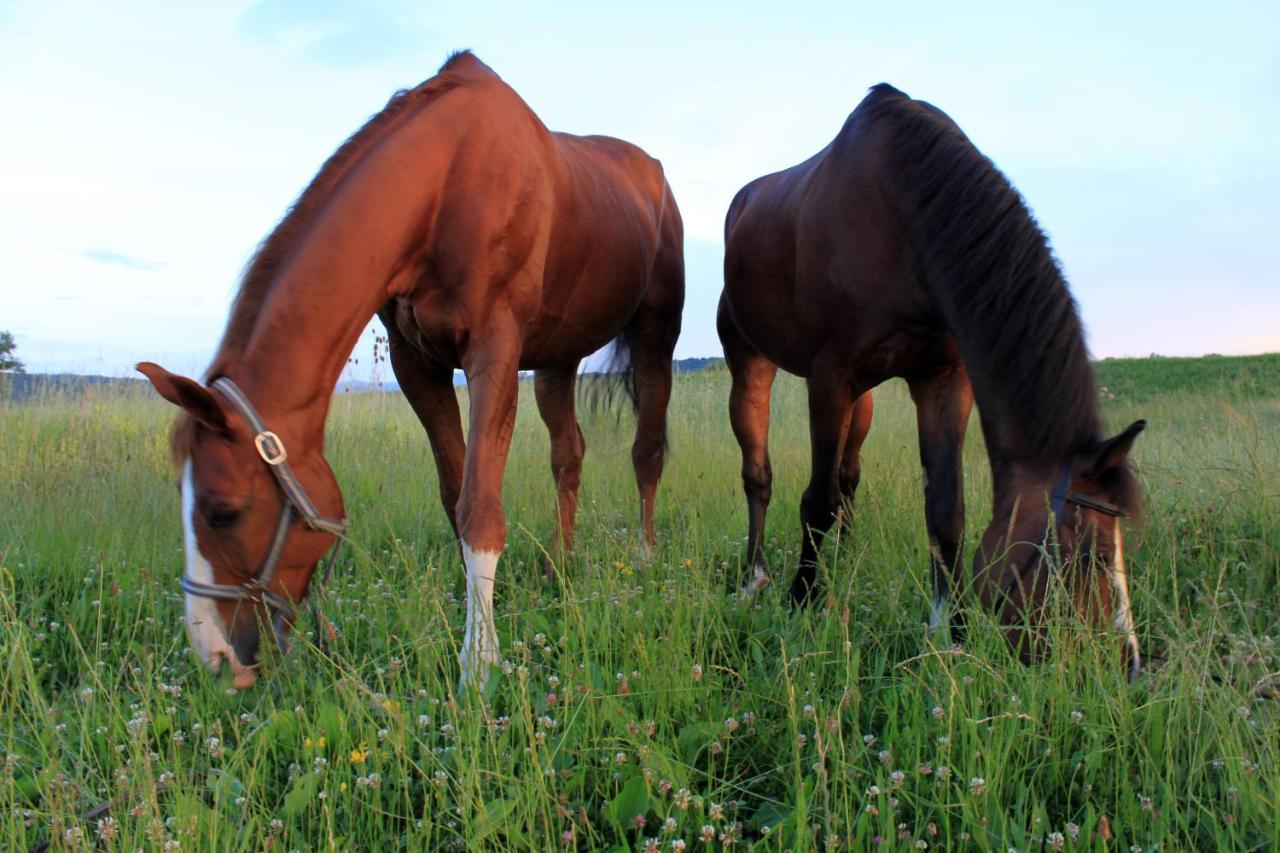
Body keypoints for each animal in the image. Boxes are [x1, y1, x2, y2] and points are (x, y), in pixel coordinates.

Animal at [135, 53, 686, 686]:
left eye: (222, 512)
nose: (215, 657)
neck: (447, 183)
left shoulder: (494, 348)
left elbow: (479, 508)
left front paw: (479, 664)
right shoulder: (415, 362)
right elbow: (454, 497)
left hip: (653, 337)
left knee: (647, 451)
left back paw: (644, 557)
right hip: (556, 358)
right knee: (568, 456)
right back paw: (560, 568)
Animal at [721, 84, 1152, 671]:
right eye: (1091, 555)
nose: (1128, 665)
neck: (902, 216)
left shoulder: (942, 378)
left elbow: (946, 511)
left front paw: (951, 629)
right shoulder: (828, 379)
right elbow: (816, 502)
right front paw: (801, 601)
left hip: (863, 401)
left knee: (849, 476)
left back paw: (845, 559)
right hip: (751, 365)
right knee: (759, 476)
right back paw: (756, 577)